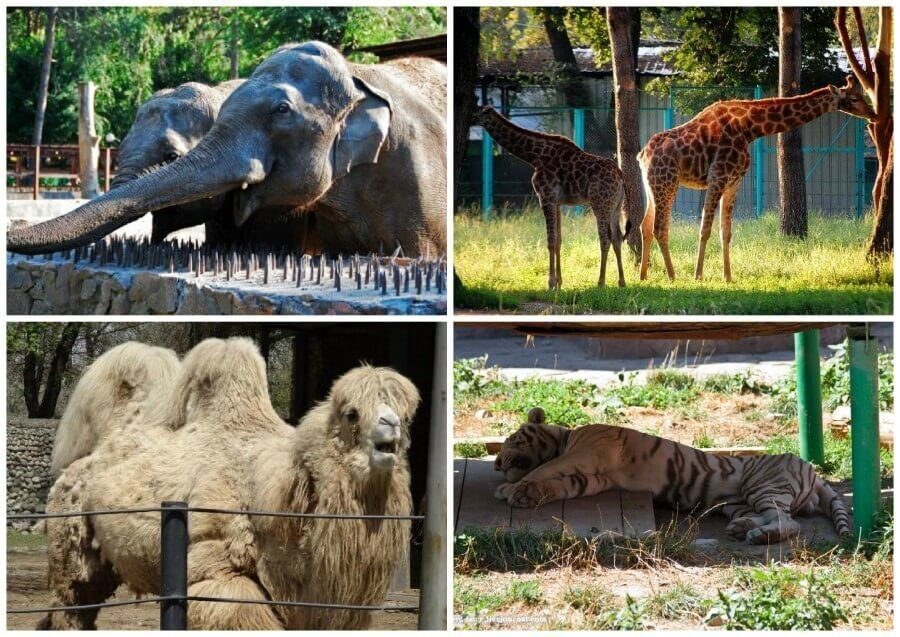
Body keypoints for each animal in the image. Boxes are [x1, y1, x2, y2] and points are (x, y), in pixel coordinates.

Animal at [39, 336, 422, 628]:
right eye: (351, 414)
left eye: (406, 415)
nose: (391, 424)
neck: (274, 496)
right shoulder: (214, 565)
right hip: (69, 541)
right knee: (70, 602)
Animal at [472, 105, 632, 290]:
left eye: (475, 114)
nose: (469, 121)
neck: (534, 156)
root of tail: (621, 175)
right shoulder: (557, 202)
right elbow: (558, 240)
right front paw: (559, 283)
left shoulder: (545, 197)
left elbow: (550, 240)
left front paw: (550, 283)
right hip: (615, 206)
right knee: (617, 238)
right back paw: (622, 282)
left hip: (600, 204)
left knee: (605, 239)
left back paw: (600, 282)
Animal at [492, 408, 852, 540]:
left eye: (511, 439)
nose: (495, 464)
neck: (564, 439)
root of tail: (814, 473)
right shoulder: (595, 477)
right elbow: (562, 484)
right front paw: (526, 493)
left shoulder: (589, 452)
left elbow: (547, 469)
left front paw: (511, 490)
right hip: (737, 502)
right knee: (774, 516)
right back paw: (743, 528)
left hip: (763, 485)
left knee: (789, 523)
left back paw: (758, 535)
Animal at [636, 74, 876, 280]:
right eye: (854, 98)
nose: (873, 115)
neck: (749, 128)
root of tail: (643, 154)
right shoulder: (718, 177)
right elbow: (705, 229)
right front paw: (698, 276)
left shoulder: (734, 181)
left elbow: (725, 231)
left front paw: (728, 277)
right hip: (666, 183)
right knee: (660, 228)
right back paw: (672, 276)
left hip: (652, 186)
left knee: (645, 226)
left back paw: (643, 276)